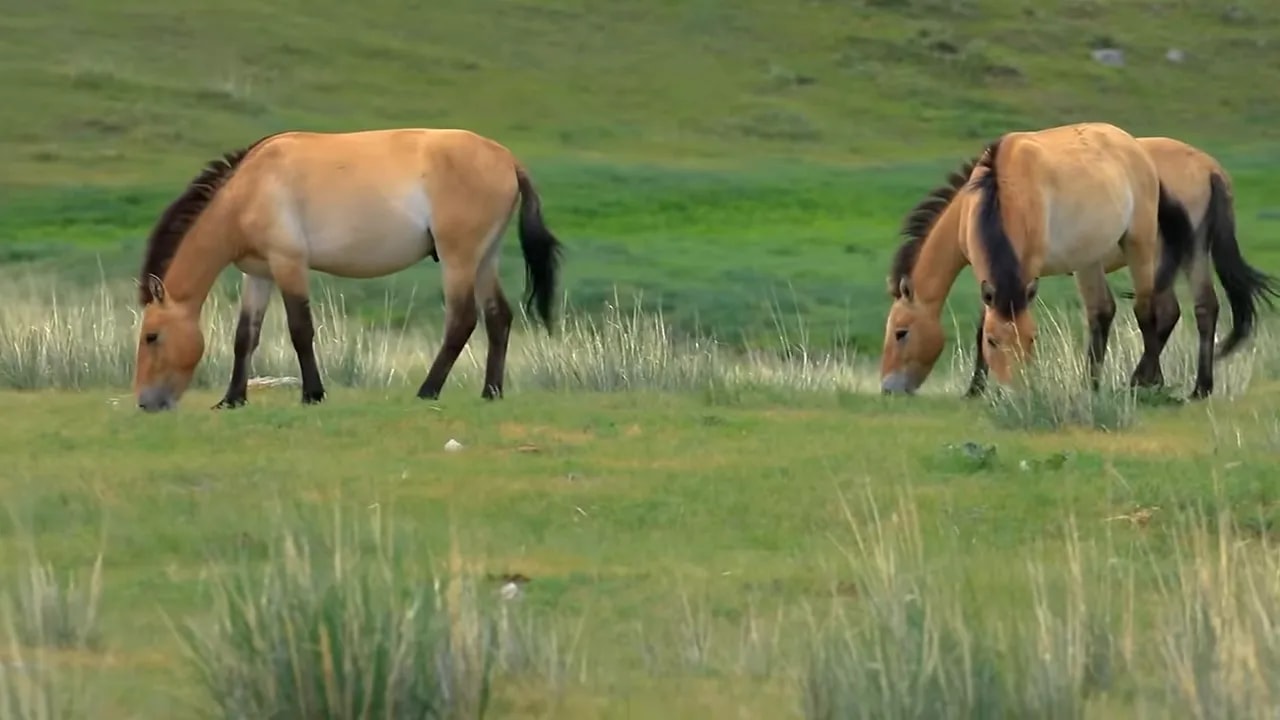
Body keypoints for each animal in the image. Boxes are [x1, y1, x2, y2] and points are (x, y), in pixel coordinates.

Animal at [132, 128, 564, 413]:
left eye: (152, 336)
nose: (146, 402)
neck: (249, 190)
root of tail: (508, 159)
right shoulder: (259, 273)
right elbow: (245, 337)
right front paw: (232, 399)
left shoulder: (289, 264)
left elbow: (300, 329)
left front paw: (312, 394)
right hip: (484, 258)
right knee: (498, 317)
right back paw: (491, 391)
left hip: (458, 259)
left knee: (462, 321)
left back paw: (427, 391)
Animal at [878, 121, 1198, 396]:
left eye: (900, 332)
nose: (889, 388)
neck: (999, 193)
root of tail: (1133, 146)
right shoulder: (988, 275)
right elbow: (984, 322)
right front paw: (975, 390)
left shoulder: (1026, 269)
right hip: (1089, 259)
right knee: (1102, 312)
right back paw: (1091, 386)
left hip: (1139, 245)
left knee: (1148, 310)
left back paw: (1144, 381)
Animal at [964, 136, 1280, 399]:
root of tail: (1209, 166)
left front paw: (976, 387)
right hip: (1195, 250)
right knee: (1203, 307)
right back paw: (1198, 387)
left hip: (1162, 255)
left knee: (1168, 310)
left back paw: (1150, 381)